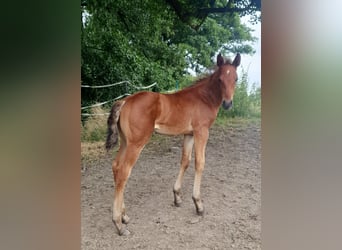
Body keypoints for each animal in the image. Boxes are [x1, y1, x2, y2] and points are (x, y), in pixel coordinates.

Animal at [106, 52, 240, 234]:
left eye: (236, 79)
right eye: (220, 79)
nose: (227, 103)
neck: (203, 98)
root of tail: (125, 101)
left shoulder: (189, 134)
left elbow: (185, 161)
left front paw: (177, 197)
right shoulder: (201, 131)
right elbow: (200, 163)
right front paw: (198, 205)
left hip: (126, 141)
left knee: (116, 166)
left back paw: (124, 216)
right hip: (137, 142)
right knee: (124, 172)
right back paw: (118, 224)